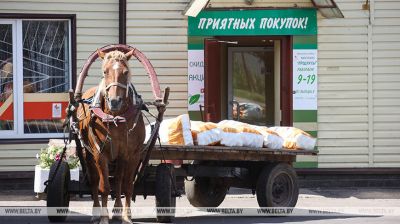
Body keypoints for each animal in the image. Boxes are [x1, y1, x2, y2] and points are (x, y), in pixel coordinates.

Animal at [77, 49, 145, 224]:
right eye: (105, 71)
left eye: (125, 72)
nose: (114, 101)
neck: (116, 118)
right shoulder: (99, 154)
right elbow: (104, 187)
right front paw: (103, 217)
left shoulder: (132, 155)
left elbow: (127, 185)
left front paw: (127, 216)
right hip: (88, 154)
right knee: (94, 181)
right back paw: (96, 212)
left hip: (121, 157)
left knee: (119, 179)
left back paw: (118, 209)